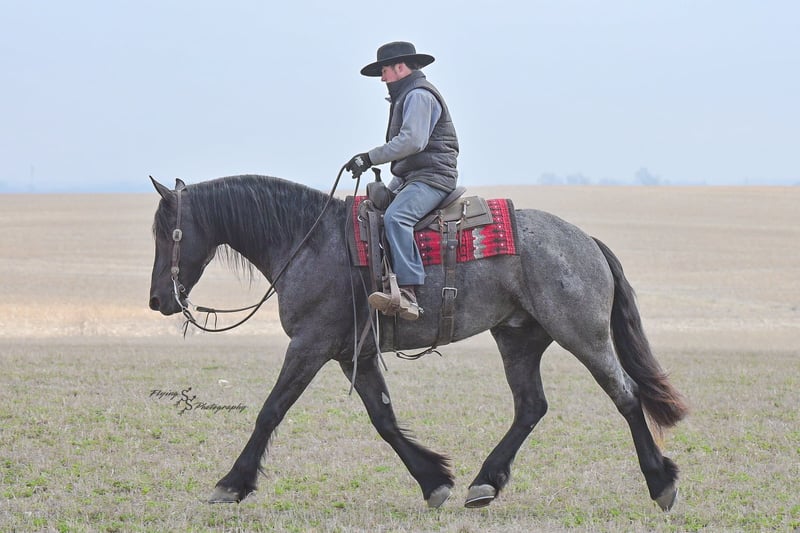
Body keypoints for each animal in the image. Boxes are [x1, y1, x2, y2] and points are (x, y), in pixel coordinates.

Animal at [148, 174, 688, 511]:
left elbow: (271, 410)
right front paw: (435, 481)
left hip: (583, 335)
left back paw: (661, 483)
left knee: (626, 396)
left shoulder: (309, 345)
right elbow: (384, 419)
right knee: (531, 406)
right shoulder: (354, 353)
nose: (157, 299)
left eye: (166, 232)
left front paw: (231, 484)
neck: (309, 241)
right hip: (518, 339)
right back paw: (484, 483)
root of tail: (587, 241)